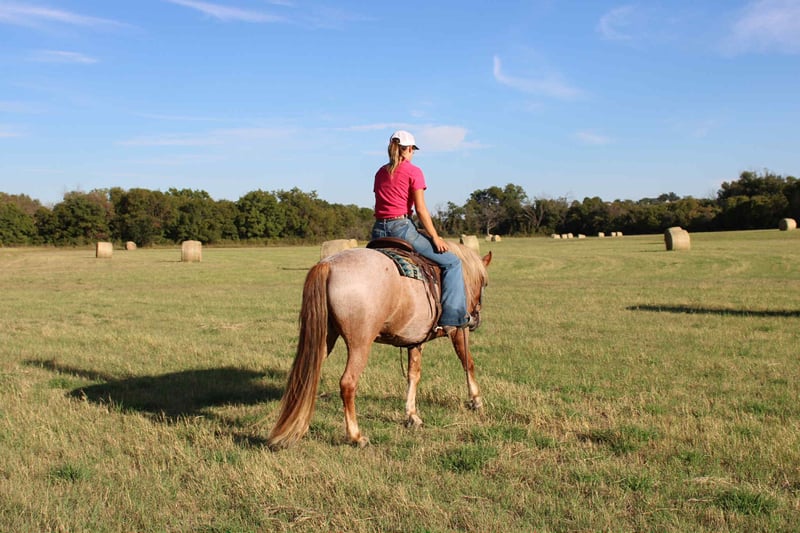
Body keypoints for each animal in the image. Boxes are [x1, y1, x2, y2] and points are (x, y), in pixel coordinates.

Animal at [267, 242, 492, 448]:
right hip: (360, 345)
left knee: (307, 377)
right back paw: (355, 436)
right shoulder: (458, 330)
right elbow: (468, 363)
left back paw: (299, 425)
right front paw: (476, 400)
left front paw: (412, 415)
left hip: (324, 339)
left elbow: (413, 375)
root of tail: (328, 264)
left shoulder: (415, 341)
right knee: (347, 383)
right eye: (485, 283)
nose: (475, 320)